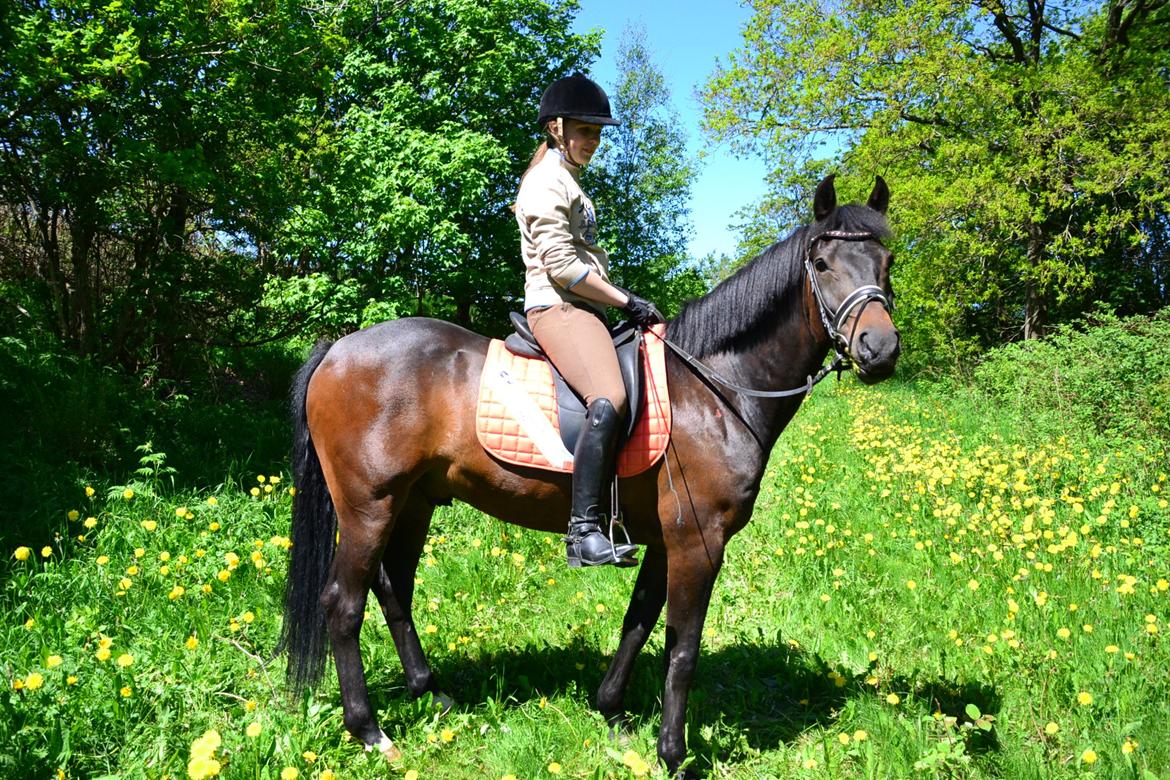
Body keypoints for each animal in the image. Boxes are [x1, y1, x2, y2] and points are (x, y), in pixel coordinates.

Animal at [281, 174, 900, 775]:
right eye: (823, 264)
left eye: (887, 262)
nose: (881, 348)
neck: (713, 388)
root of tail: (337, 350)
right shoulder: (699, 542)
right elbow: (683, 647)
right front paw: (673, 755)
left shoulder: (666, 539)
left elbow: (640, 621)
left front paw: (612, 713)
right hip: (369, 505)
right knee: (343, 603)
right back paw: (370, 731)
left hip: (414, 503)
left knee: (394, 588)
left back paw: (431, 694)